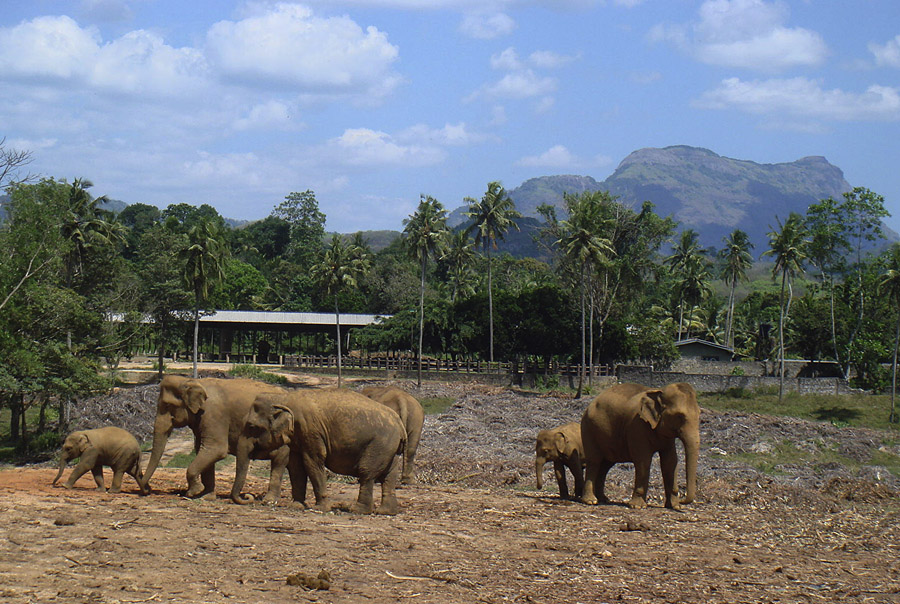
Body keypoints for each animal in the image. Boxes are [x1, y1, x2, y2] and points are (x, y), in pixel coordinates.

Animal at [142, 376, 286, 498]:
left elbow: (216, 449)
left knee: (278, 462)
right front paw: (206, 496)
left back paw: (270, 500)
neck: (194, 382)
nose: (147, 490)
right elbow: (203, 449)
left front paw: (194, 492)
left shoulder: (213, 415)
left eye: (167, 405)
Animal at [229, 386, 404, 516]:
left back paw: (358, 510)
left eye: (252, 427)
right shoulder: (297, 435)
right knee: (389, 476)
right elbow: (296, 467)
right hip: (390, 448)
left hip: (379, 444)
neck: (284, 398)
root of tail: (400, 423)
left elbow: (312, 462)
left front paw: (321, 508)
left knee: (366, 472)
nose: (248, 496)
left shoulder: (311, 430)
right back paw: (386, 511)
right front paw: (296, 506)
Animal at [580, 382, 700, 510]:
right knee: (594, 461)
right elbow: (643, 461)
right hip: (588, 428)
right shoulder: (637, 426)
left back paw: (603, 499)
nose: (682, 499)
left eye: (699, 414)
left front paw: (675, 506)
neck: (658, 392)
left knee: (605, 465)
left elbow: (670, 462)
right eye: (679, 416)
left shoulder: (667, 437)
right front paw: (638, 506)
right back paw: (591, 501)